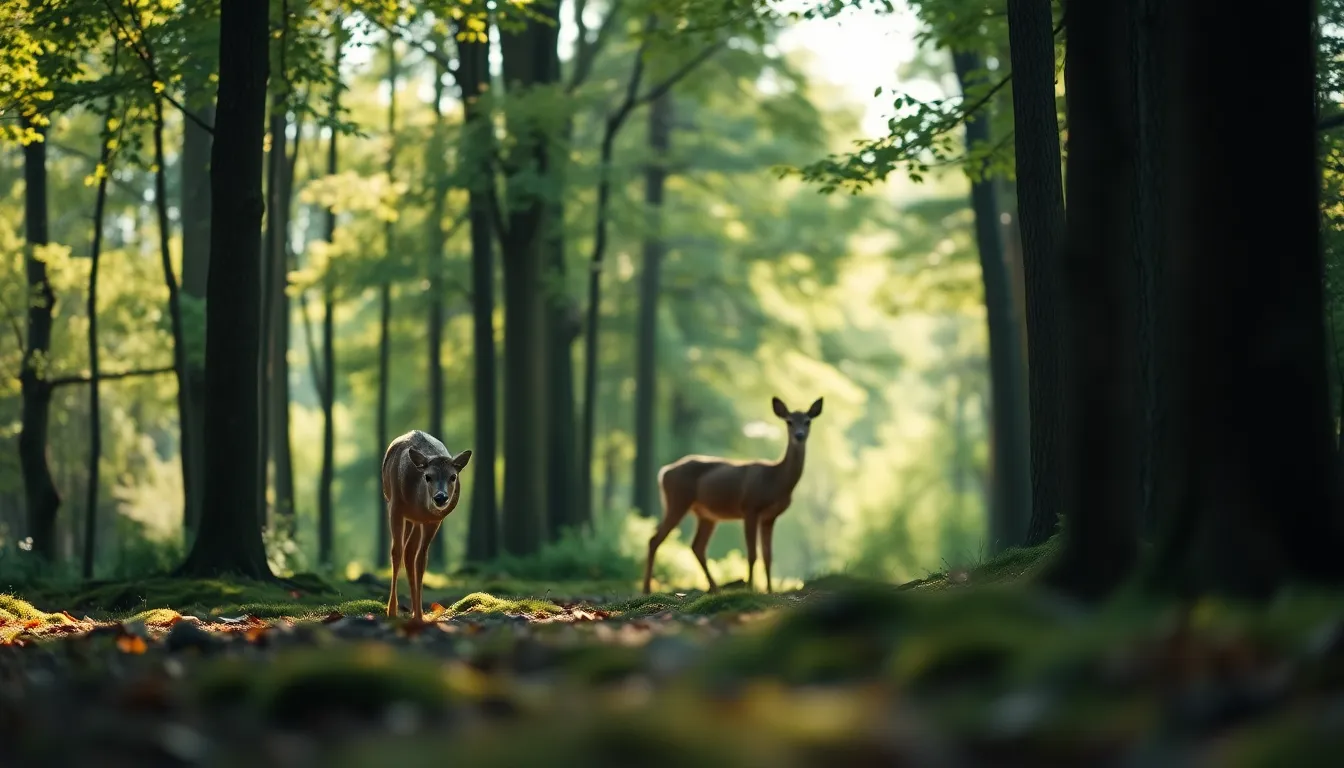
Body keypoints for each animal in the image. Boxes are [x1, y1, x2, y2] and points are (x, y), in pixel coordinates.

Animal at [382, 430, 471, 621]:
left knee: (411, 553)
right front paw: (391, 611)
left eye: (453, 476)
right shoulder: (395, 507)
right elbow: (395, 552)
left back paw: (416, 612)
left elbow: (422, 559)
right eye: (428, 476)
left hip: (416, 521)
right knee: (404, 551)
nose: (440, 497)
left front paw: (419, 614)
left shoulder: (433, 521)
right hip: (403, 512)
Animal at [643, 396, 822, 595]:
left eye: (808, 421)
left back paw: (715, 589)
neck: (776, 480)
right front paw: (751, 588)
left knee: (697, 546)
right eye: (789, 422)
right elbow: (752, 554)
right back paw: (647, 589)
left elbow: (768, 556)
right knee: (654, 539)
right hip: (677, 500)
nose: (799, 435)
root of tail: (664, 472)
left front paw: (769, 591)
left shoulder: (770, 516)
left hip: (706, 515)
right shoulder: (750, 507)